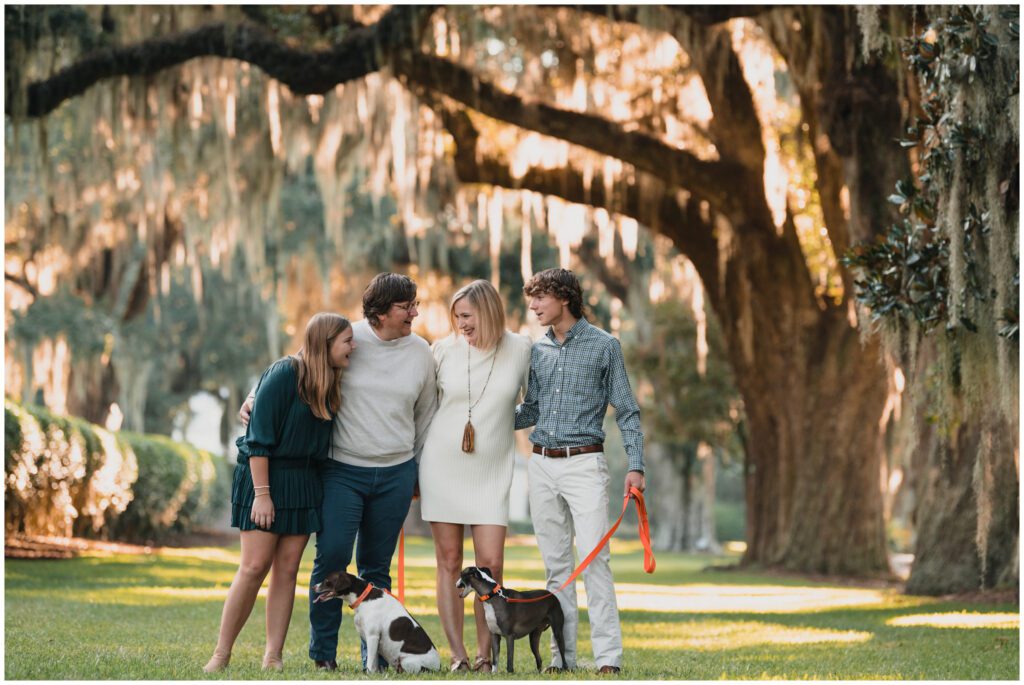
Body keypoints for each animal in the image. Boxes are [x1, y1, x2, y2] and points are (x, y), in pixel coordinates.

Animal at [311, 569, 440, 671]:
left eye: (327, 581)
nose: (313, 586)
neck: (363, 598)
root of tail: (438, 667)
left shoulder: (372, 636)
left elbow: (370, 662)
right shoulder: (372, 640)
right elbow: (374, 663)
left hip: (407, 661)